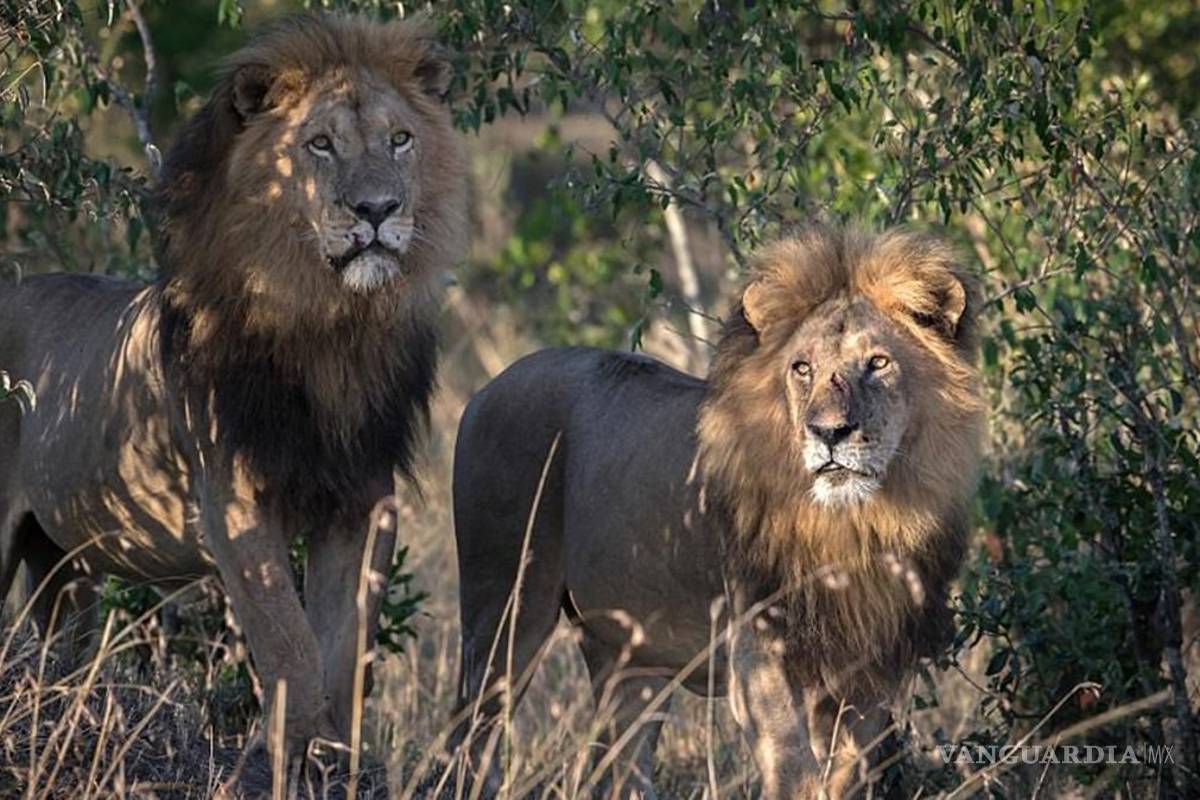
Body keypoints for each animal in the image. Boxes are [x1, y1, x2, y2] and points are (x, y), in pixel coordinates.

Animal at [0, 13, 465, 765]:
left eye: (400, 138)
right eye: (319, 144)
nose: (376, 210)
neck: (329, 328)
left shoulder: (365, 498)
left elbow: (344, 646)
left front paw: (331, 757)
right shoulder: (235, 500)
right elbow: (289, 643)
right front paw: (287, 753)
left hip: (62, 563)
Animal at [451, 228, 984, 799]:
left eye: (878, 363)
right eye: (802, 369)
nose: (828, 432)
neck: (851, 524)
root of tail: (485, 388)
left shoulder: (868, 664)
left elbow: (846, 773)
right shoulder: (757, 650)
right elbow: (794, 769)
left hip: (629, 659)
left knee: (622, 766)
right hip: (503, 611)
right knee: (468, 740)